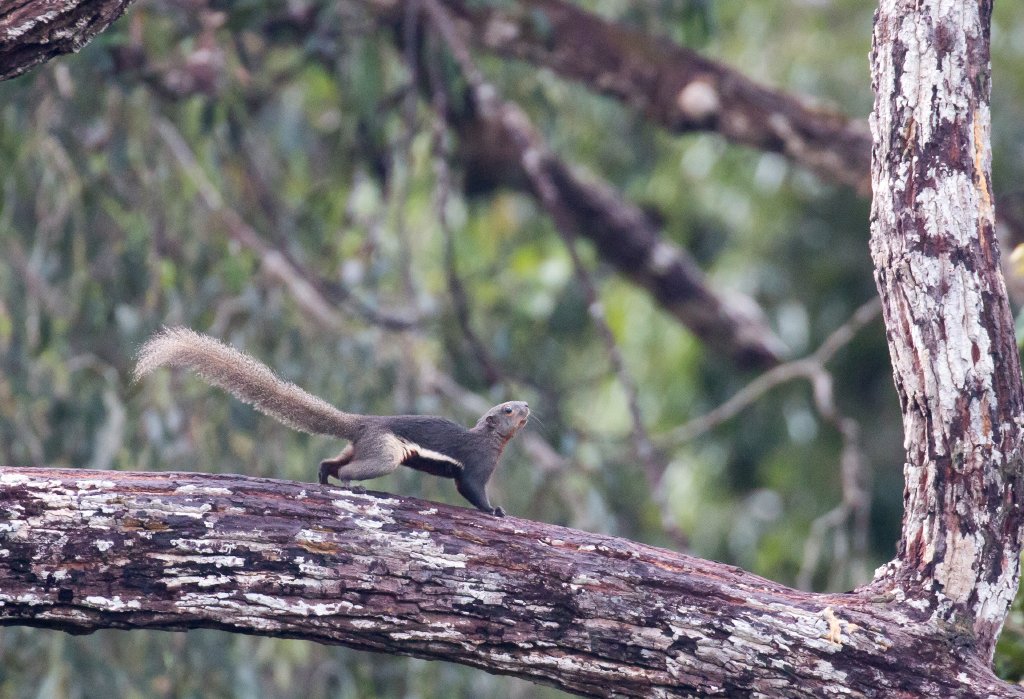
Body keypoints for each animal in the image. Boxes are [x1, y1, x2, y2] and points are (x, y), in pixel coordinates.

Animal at [134, 327, 530, 516]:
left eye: (518, 405)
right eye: (509, 410)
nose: (527, 404)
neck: (489, 440)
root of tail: (363, 422)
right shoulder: (476, 466)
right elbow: (471, 490)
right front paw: (496, 510)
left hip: (361, 447)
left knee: (331, 462)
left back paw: (323, 479)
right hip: (385, 454)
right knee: (351, 471)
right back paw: (351, 487)